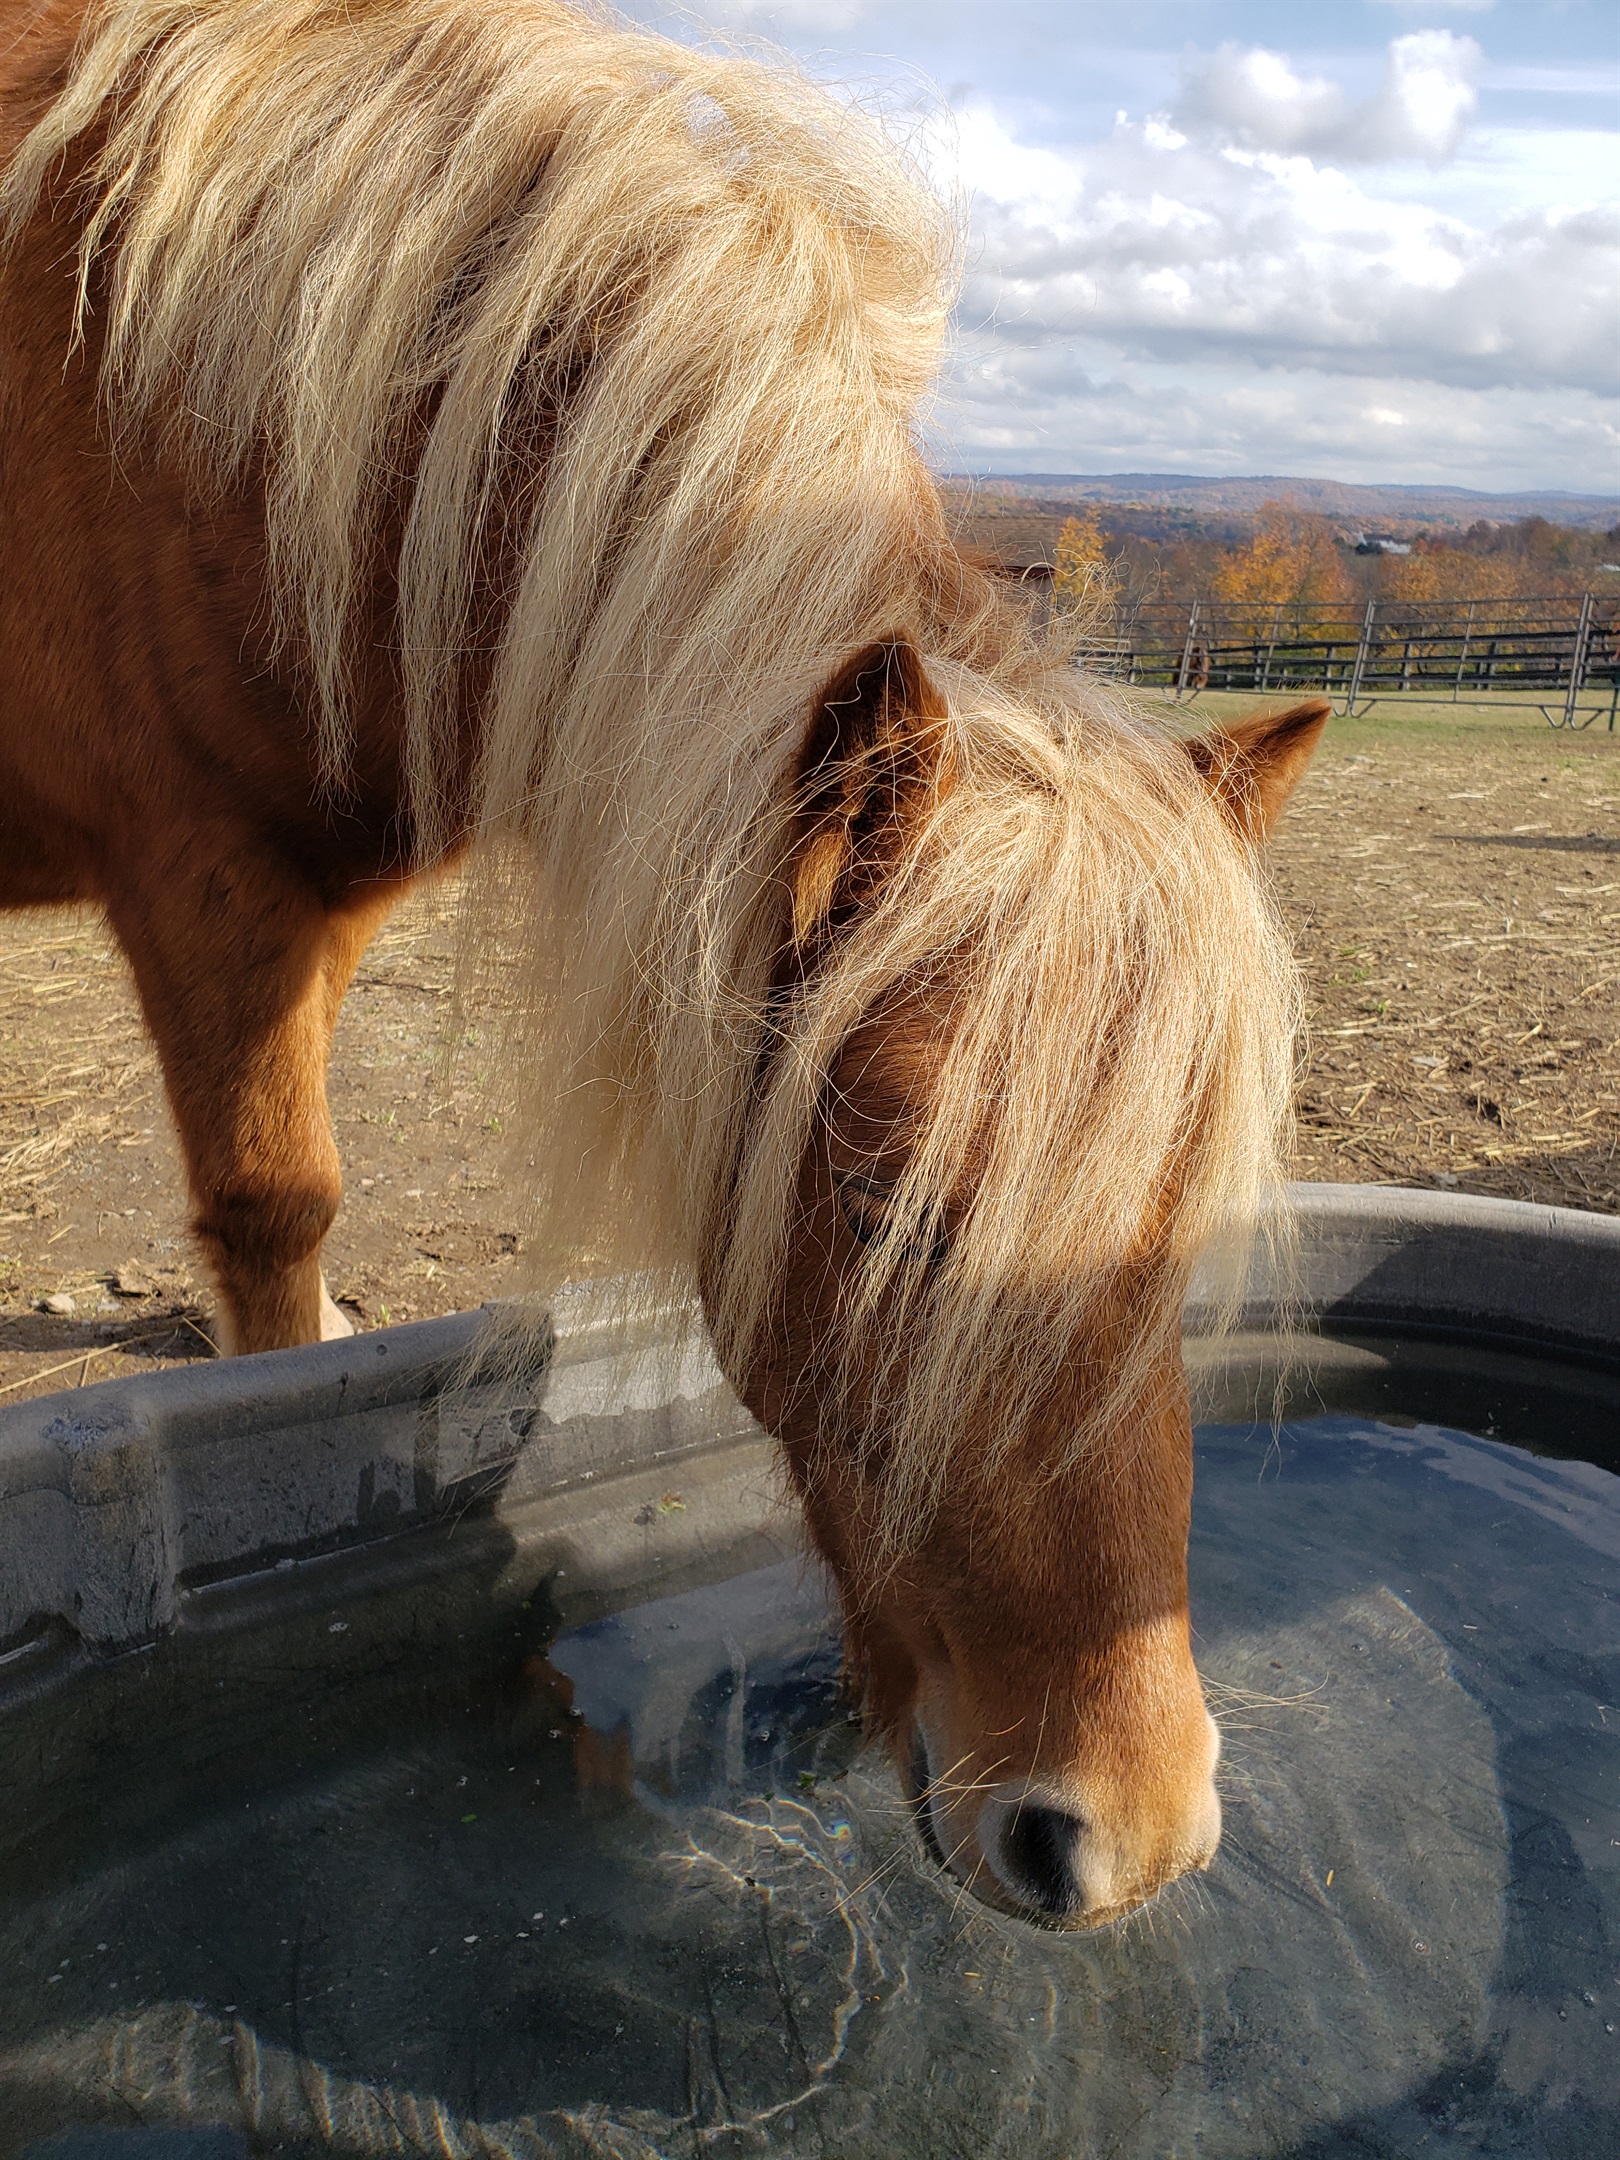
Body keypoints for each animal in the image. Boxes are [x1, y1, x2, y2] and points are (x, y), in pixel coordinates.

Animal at [0, 0, 1328, 1928]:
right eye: (884, 1205)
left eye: (1189, 1214)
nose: (1124, 1835)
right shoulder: (206, 890)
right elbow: (271, 1215)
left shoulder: (322, 912)